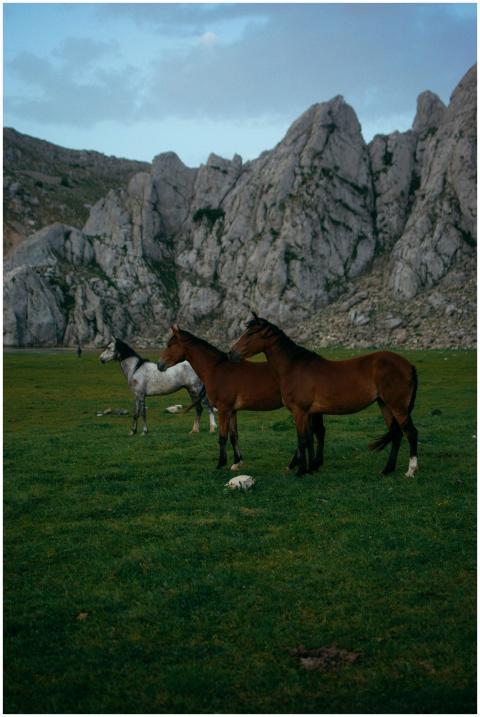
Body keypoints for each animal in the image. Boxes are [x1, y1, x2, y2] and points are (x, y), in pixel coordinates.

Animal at [157, 326, 325, 471]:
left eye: (170, 345)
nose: (159, 365)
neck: (217, 369)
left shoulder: (223, 409)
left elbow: (222, 437)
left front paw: (221, 463)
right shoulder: (232, 410)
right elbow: (234, 436)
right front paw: (237, 462)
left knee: (310, 434)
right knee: (315, 433)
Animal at [229, 314, 418, 478]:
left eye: (250, 333)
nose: (231, 352)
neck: (294, 367)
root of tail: (408, 364)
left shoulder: (300, 412)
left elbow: (302, 440)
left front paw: (301, 471)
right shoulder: (309, 413)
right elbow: (309, 438)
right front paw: (309, 468)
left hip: (398, 407)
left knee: (410, 433)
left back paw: (411, 471)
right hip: (384, 405)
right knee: (396, 434)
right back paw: (387, 470)